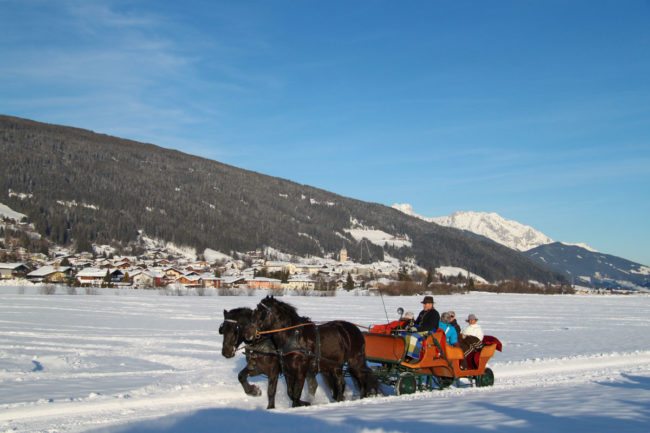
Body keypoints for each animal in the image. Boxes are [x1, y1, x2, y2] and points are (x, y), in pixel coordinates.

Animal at [242, 294, 374, 404]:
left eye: (262, 313)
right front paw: (305, 403)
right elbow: (290, 393)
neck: (293, 336)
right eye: (255, 312)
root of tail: (355, 330)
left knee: (363, 378)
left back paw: (364, 396)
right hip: (334, 366)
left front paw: (301, 404)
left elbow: (296, 394)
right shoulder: (288, 371)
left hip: (355, 362)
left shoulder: (301, 371)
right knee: (341, 383)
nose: (247, 334)